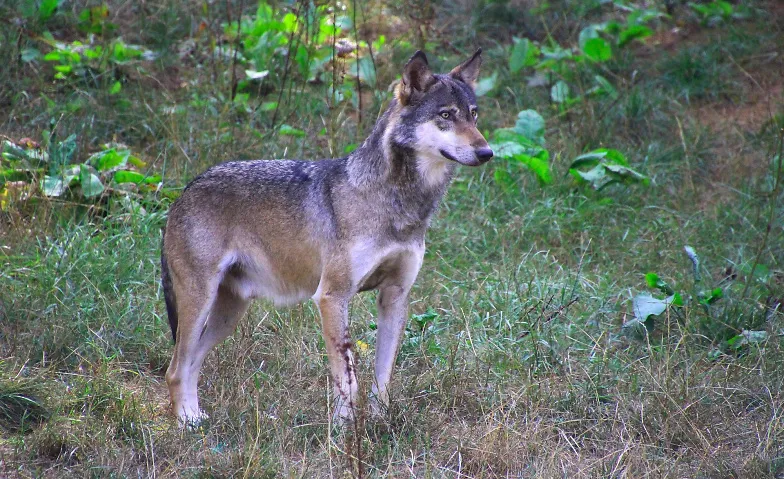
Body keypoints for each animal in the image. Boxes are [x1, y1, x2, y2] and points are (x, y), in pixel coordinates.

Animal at [161, 49, 493, 425]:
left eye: (474, 114)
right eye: (446, 115)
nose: (487, 153)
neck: (399, 202)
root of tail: (185, 191)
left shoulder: (395, 297)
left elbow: (382, 377)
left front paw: (379, 423)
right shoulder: (332, 297)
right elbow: (347, 379)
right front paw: (345, 431)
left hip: (229, 314)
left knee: (191, 363)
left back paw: (196, 418)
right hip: (201, 302)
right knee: (175, 368)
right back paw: (186, 424)